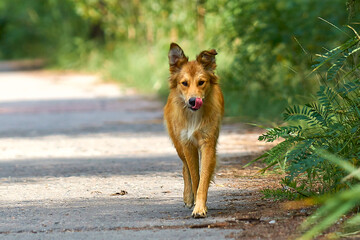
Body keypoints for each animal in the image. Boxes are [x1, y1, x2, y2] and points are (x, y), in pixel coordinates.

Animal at [165, 43, 224, 218]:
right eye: (184, 83)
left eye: (201, 82)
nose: (193, 101)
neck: (194, 116)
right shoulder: (187, 144)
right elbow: (195, 176)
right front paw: (195, 202)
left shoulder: (208, 143)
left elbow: (203, 177)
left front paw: (200, 207)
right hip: (178, 144)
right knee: (185, 168)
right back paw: (188, 197)